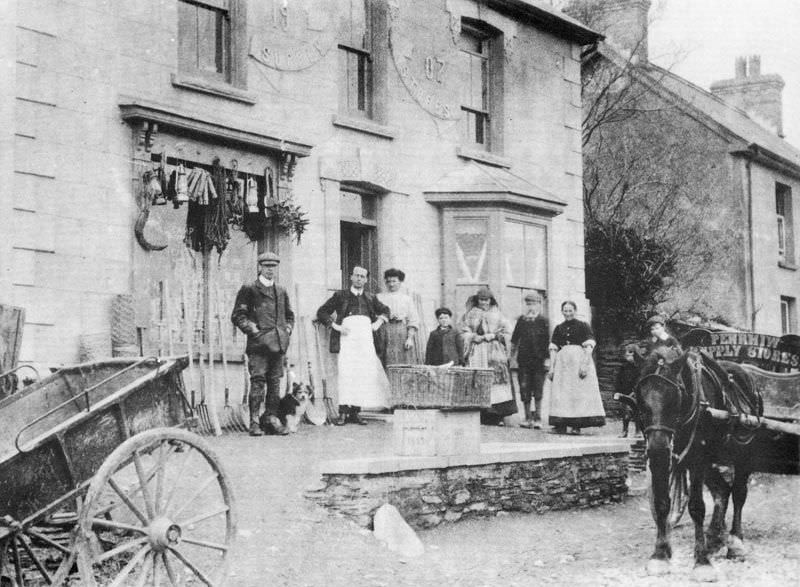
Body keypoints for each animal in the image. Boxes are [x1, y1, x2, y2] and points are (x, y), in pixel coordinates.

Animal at [620, 346, 764, 580]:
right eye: (639, 398)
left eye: (676, 397)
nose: (658, 447)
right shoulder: (662, 462)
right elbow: (662, 503)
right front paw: (660, 555)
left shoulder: (697, 460)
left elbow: (697, 507)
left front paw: (702, 562)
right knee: (722, 491)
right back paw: (714, 538)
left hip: (743, 453)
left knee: (739, 494)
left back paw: (735, 543)